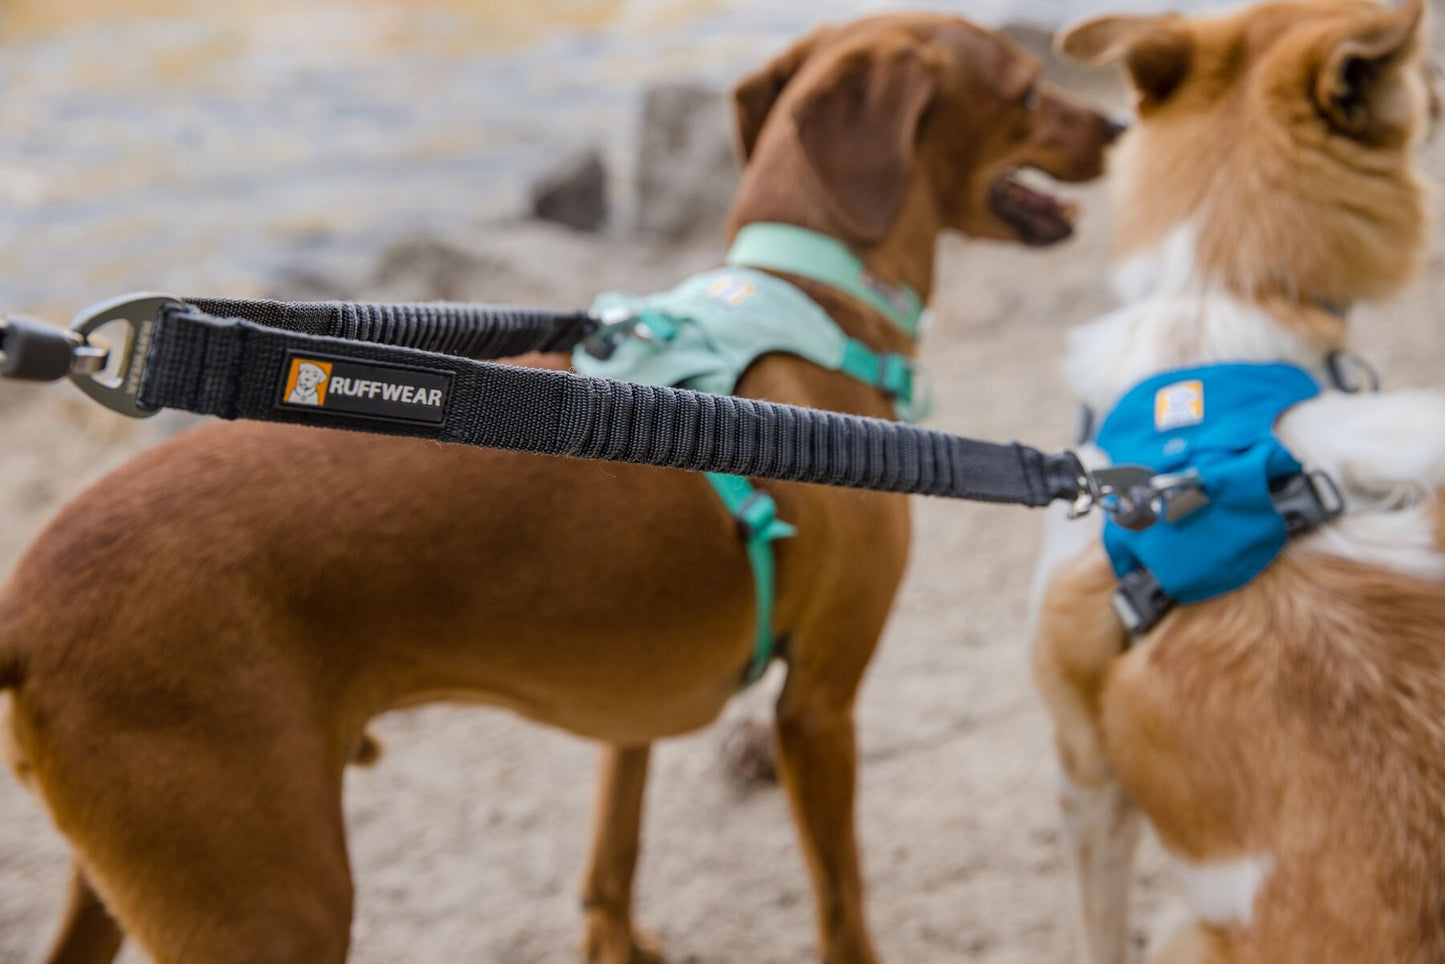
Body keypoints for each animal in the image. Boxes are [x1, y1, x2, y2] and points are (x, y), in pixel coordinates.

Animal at [0, 15, 1115, 964]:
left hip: (132, 882)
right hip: (270, 907)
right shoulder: (818, 706)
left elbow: (609, 860)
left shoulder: (633, 709)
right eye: (1025, 91)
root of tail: (22, 615)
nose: (1112, 122)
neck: (808, 301)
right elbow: (841, 904)